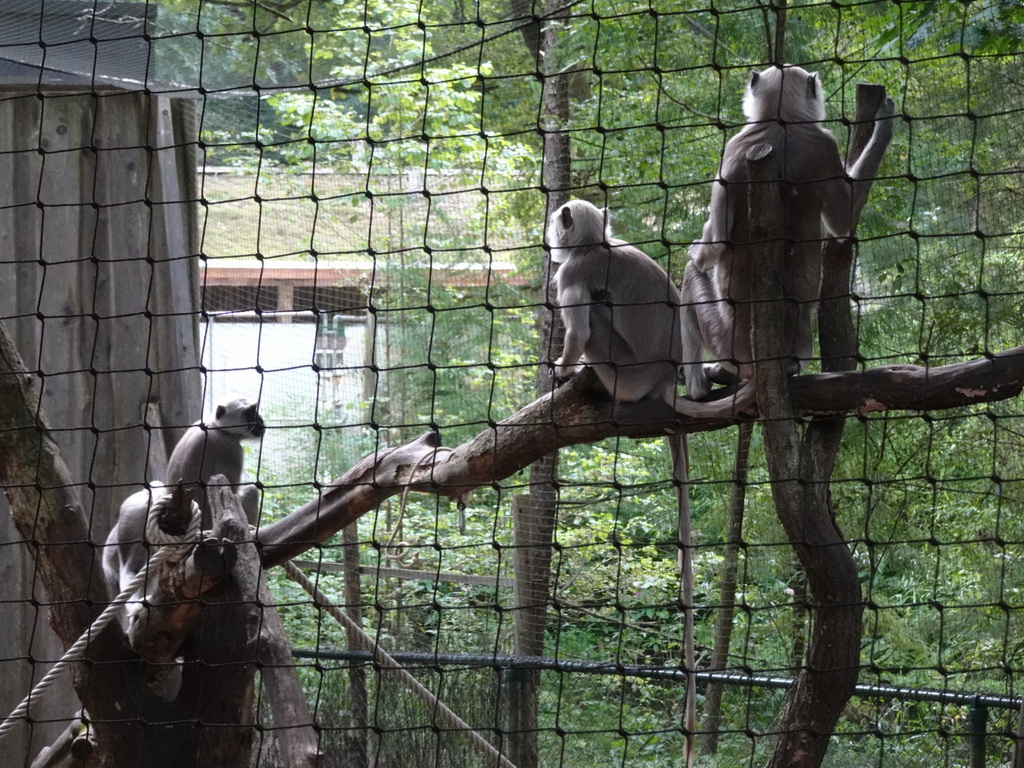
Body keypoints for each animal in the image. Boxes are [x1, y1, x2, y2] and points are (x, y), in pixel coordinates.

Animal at [548, 199, 700, 768]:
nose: (550, 233)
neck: (599, 245)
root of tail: (663, 382)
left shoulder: (572, 273)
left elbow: (575, 328)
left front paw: (559, 369)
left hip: (621, 370)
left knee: (594, 318)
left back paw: (583, 379)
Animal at [684, 64, 892, 403]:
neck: (781, 121)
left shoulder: (733, 146)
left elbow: (711, 248)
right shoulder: (824, 143)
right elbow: (842, 223)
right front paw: (885, 127)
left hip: (724, 341)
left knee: (691, 274)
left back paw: (700, 386)